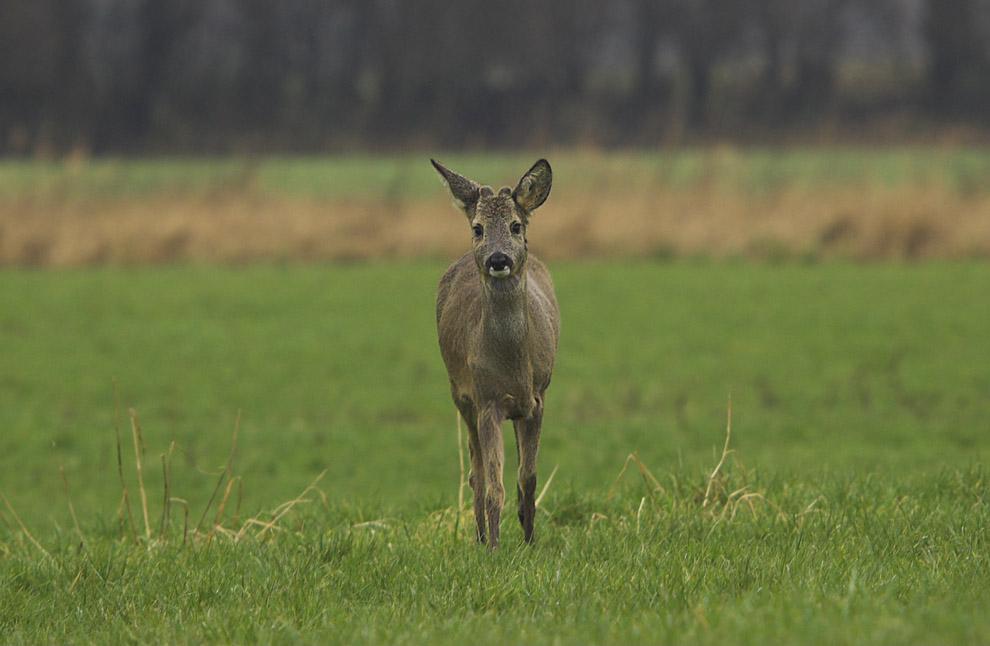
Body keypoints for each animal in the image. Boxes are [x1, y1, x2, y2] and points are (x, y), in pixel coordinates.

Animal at [432, 159, 560, 548]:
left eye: (516, 225)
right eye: (478, 228)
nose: (498, 259)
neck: (513, 366)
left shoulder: (537, 397)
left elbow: (528, 477)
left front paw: (530, 541)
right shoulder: (486, 399)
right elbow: (493, 485)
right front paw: (493, 547)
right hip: (460, 395)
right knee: (475, 471)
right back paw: (478, 537)